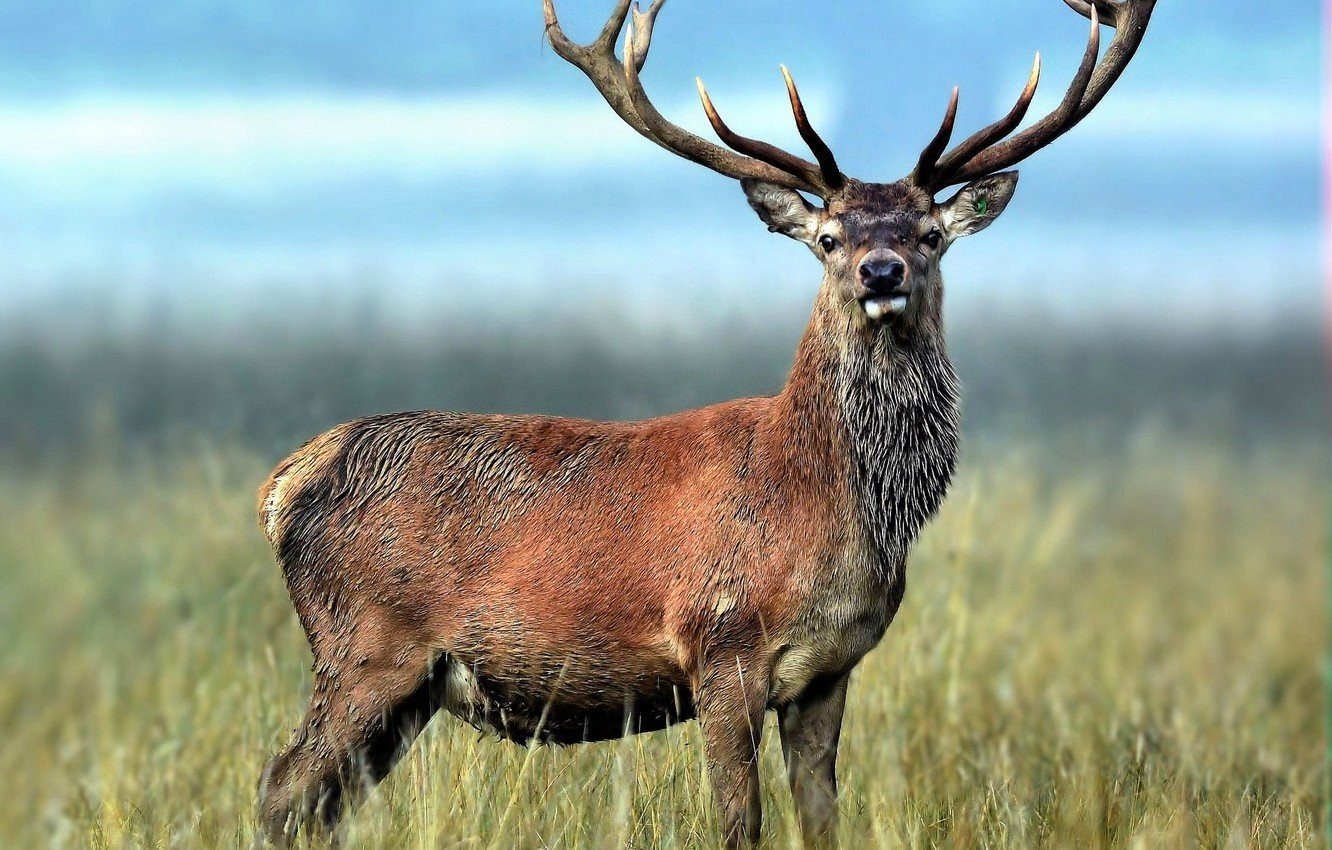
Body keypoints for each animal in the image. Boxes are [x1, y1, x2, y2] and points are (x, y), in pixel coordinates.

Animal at [254, 1, 1150, 847]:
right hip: (367, 646)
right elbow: (739, 823)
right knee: (279, 787)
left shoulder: (830, 671)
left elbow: (822, 820)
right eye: (829, 238)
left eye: (931, 233)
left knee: (322, 806)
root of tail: (284, 483)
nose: (882, 270)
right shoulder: (721, 647)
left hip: (407, 687)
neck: (826, 507)